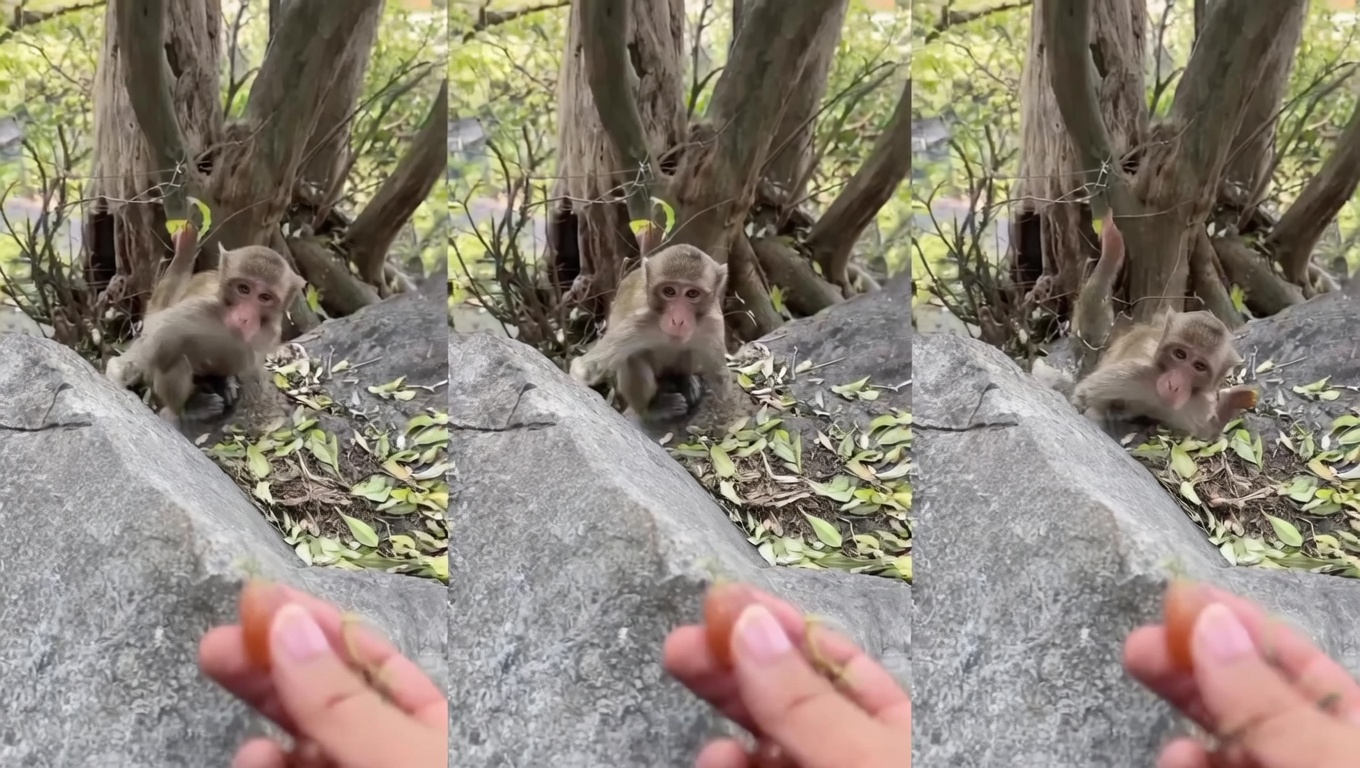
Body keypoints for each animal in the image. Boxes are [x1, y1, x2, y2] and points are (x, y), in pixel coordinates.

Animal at [569, 244, 735, 427]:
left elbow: (720, 376)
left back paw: (685, 382)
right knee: (632, 359)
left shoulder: (712, 322)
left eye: (692, 293)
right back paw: (653, 409)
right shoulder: (639, 322)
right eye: (669, 291)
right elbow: (588, 367)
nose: (678, 320)